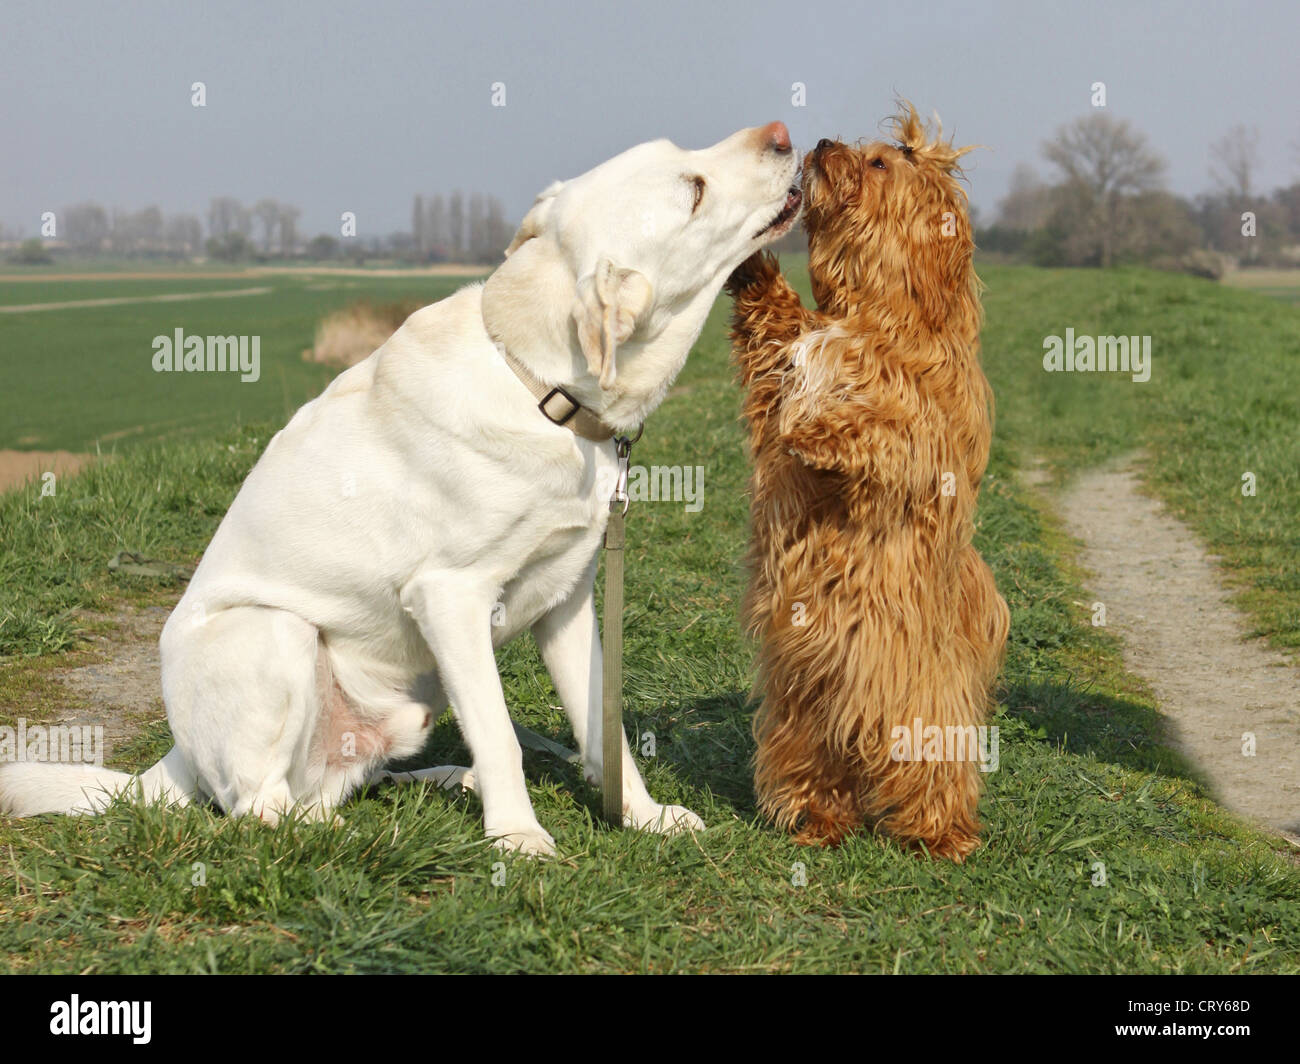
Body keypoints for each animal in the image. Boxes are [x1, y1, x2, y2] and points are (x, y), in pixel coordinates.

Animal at [728, 103, 1008, 858]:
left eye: (880, 162)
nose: (823, 142)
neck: (867, 313)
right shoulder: (782, 358)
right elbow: (773, 324)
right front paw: (747, 259)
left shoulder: (923, 430)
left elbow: (879, 430)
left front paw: (817, 431)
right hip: (801, 697)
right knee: (811, 763)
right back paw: (815, 819)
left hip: (918, 700)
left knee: (932, 768)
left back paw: (941, 835)